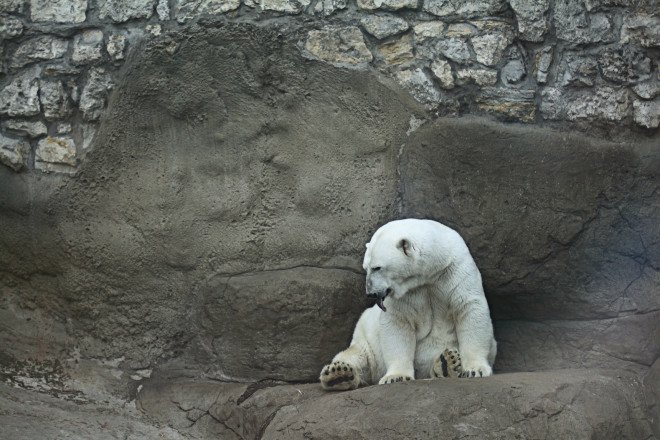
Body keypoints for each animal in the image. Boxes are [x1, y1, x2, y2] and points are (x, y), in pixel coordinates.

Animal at [320, 218, 497, 390]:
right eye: (365, 268)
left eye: (377, 267)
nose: (370, 293)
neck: (430, 273)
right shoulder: (406, 295)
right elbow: (398, 323)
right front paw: (396, 376)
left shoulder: (454, 270)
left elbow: (469, 308)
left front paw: (474, 370)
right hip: (366, 339)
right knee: (357, 356)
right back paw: (338, 374)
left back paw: (446, 363)